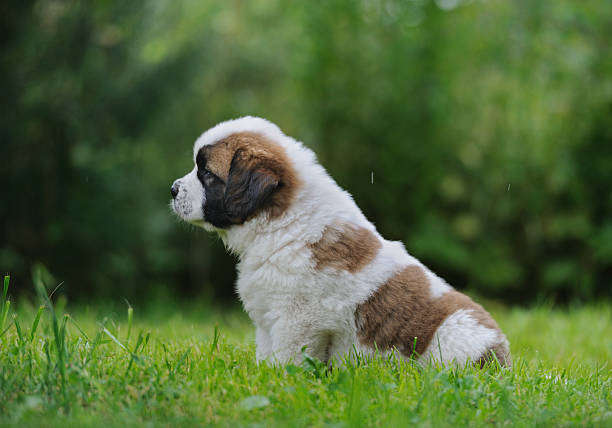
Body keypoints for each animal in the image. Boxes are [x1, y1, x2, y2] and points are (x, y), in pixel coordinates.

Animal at [170, 117, 510, 368]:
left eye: (206, 174)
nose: (172, 189)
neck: (284, 221)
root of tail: (500, 353)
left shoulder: (297, 321)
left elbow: (287, 359)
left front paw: (281, 383)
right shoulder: (268, 320)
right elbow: (266, 353)